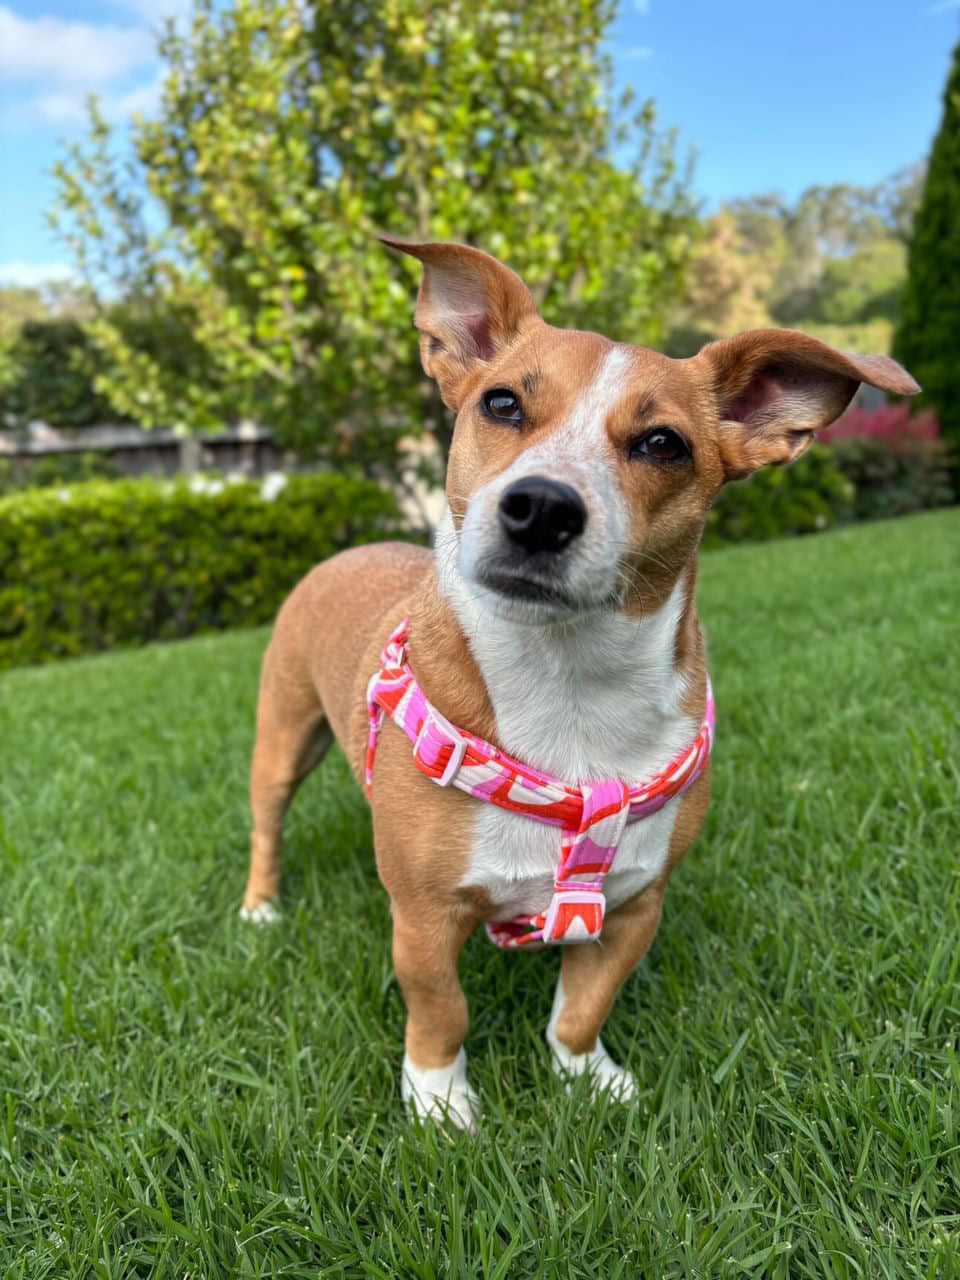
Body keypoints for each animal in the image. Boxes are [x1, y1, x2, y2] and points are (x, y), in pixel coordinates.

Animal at [241, 239, 919, 1129]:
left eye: (664, 445)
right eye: (500, 404)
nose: (541, 506)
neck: (569, 687)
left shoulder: (633, 906)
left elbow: (582, 1006)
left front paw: (586, 1075)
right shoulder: (424, 921)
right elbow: (441, 1009)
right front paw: (439, 1100)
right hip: (284, 740)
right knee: (268, 827)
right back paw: (260, 906)